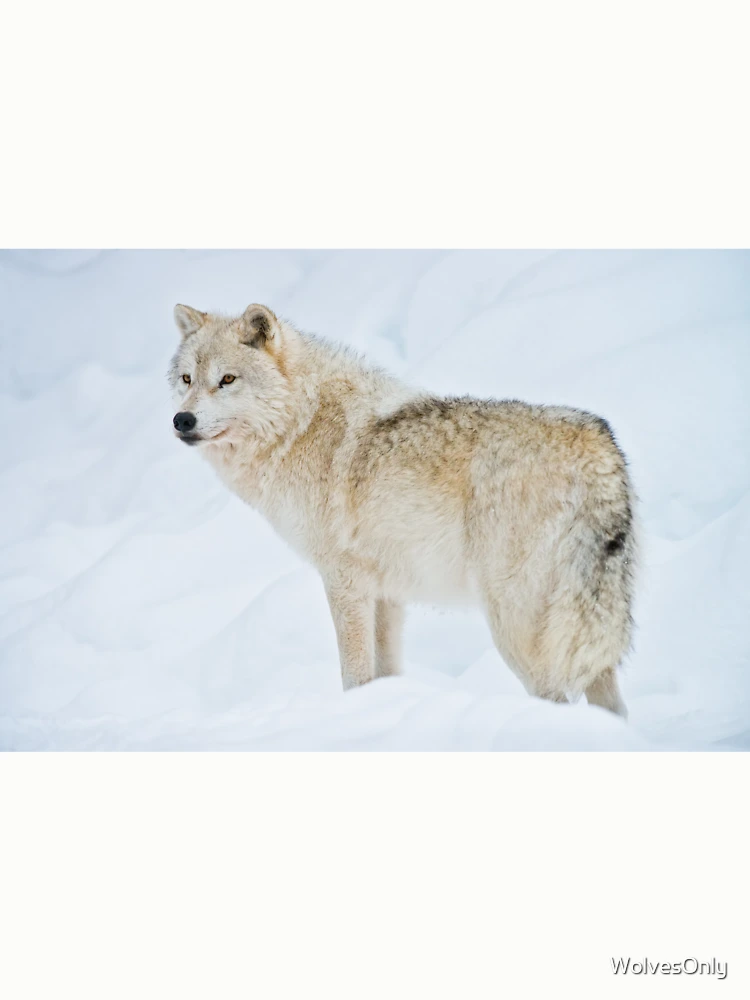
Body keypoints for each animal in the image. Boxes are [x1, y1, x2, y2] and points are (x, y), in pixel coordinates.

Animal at [169, 302, 637, 717]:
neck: (301, 424)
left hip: (518, 627)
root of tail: (598, 446)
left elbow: (355, 675)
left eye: (227, 379)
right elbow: (387, 672)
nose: (182, 420)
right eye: (187, 379)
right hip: (581, 631)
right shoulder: (387, 593)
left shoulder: (345, 581)